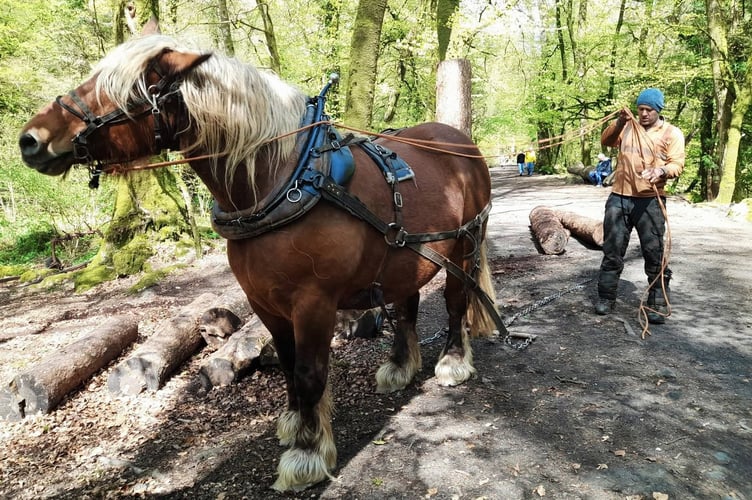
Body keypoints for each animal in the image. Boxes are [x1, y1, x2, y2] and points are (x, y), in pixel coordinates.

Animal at [18, 28, 500, 492]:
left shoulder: (314, 303)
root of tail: (462, 145)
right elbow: (286, 366)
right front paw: (295, 423)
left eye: (124, 88)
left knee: (456, 304)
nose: (30, 139)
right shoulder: (265, 303)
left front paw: (307, 454)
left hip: (465, 245)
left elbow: (308, 372)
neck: (284, 180)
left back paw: (453, 361)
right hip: (407, 256)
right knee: (407, 306)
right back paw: (400, 366)